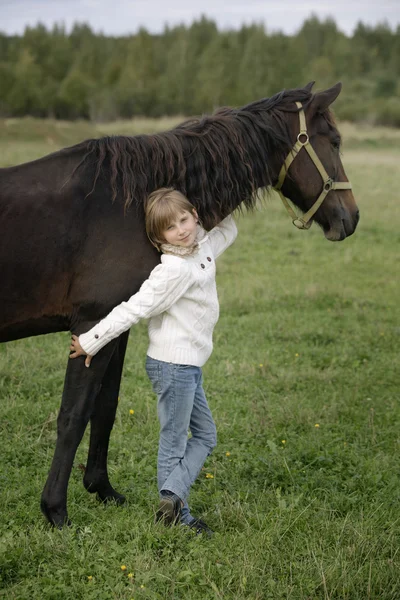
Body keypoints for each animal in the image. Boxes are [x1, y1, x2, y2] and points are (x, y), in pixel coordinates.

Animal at [0, 83, 360, 524]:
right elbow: (73, 415)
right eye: (336, 141)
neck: (127, 203)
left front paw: (102, 488)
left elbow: (105, 408)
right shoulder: (90, 325)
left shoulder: (116, 326)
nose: (351, 218)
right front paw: (55, 510)